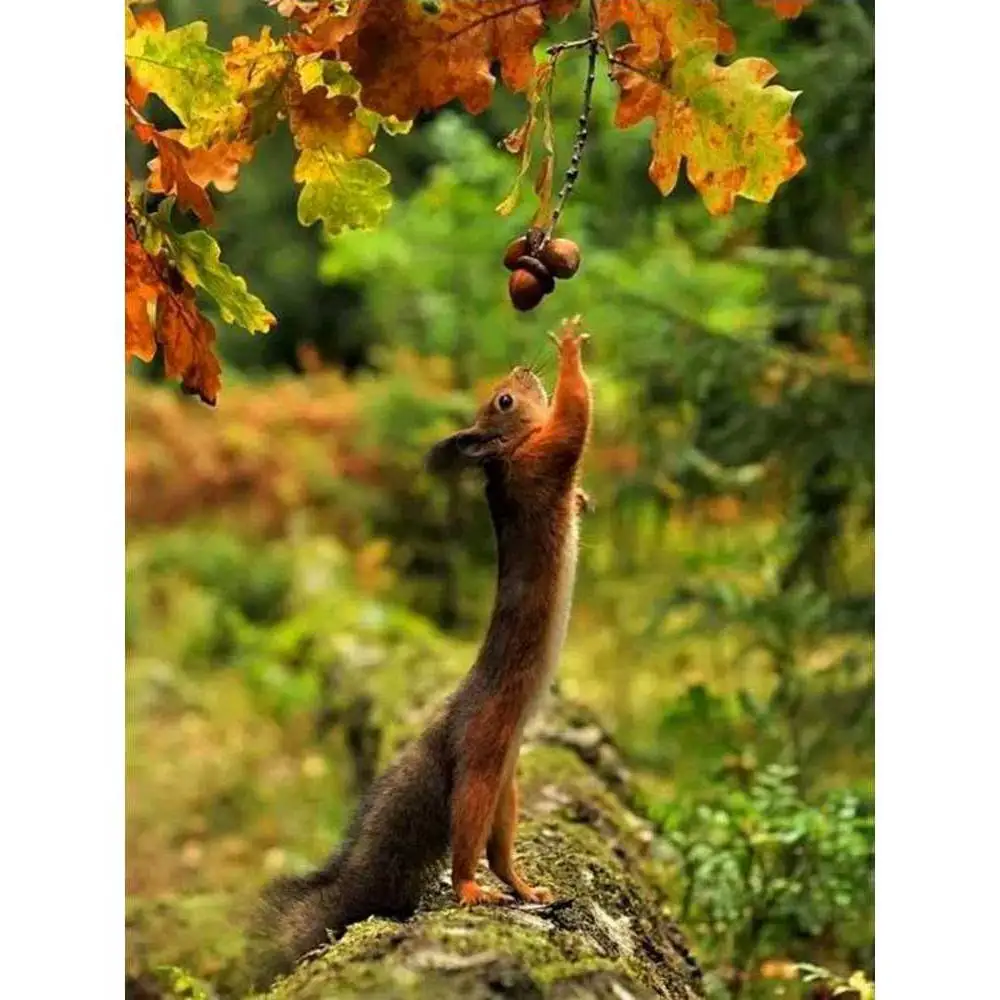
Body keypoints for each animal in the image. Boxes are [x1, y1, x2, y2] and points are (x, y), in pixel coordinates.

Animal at [247, 321, 593, 988]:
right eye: (503, 402)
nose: (521, 370)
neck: (505, 458)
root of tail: (448, 729)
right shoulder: (542, 461)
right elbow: (574, 420)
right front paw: (569, 350)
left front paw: (585, 498)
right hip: (482, 767)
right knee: (466, 845)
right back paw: (470, 892)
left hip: (506, 786)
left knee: (497, 850)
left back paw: (526, 889)